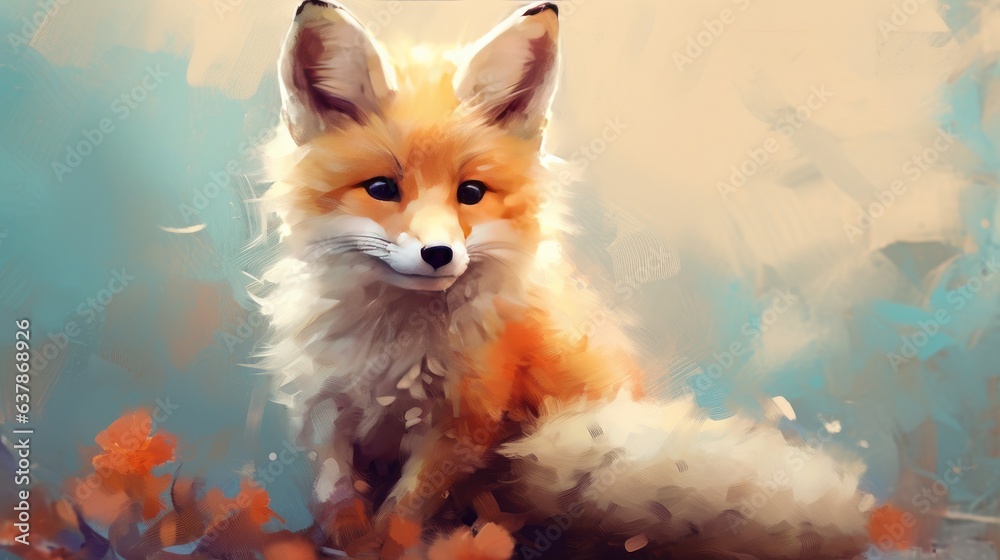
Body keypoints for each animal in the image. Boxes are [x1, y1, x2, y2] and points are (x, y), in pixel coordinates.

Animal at [258, 1, 876, 558]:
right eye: (382, 189)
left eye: (471, 192)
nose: (439, 254)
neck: (391, 348)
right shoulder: (323, 406)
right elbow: (336, 491)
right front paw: (341, 539)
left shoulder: (461, 426)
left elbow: (403, 515)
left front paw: (382, 545)